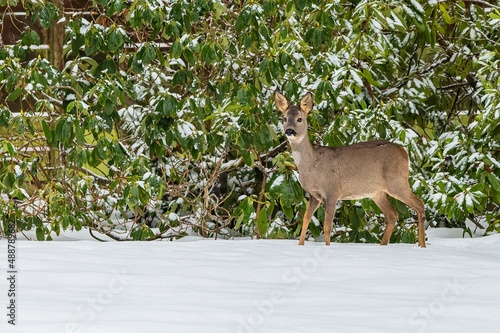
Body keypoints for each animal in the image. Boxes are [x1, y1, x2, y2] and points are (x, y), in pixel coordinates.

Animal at [274, 91, 426, 246]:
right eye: (284, 118)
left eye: (299, 119)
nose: (290, 131)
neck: (312, 166)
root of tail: (404, 151)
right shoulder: (314, 195)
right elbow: (306, 219)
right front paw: (300, 245)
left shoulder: (332, 191)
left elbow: (327, 226)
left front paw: (327, 246)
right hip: (378, 192)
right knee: (392, 214)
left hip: (397, 181)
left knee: (420, 204)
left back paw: (422, 245)